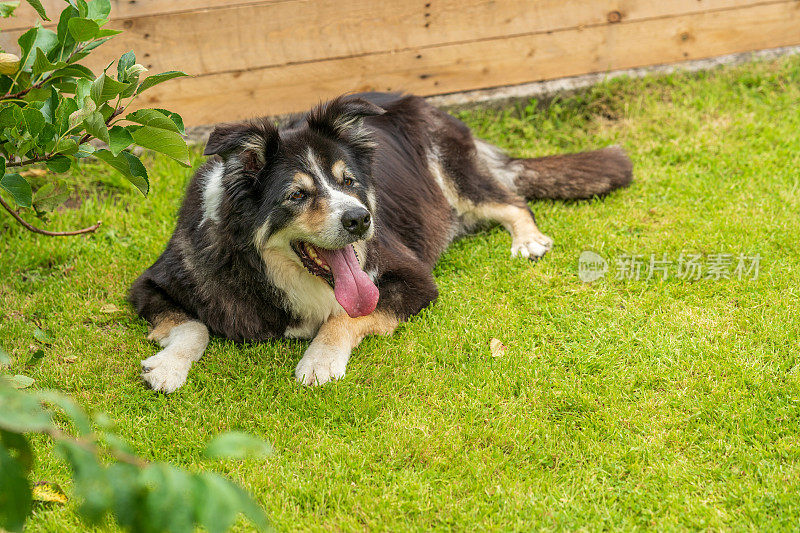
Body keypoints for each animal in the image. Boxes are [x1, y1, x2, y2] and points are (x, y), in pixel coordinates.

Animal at [131, 92, 632, 390]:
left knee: (511, 200)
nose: (361, 220)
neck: (267, 271)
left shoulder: (414, 278)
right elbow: (194, 325)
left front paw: (319, 360)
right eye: (297, 195)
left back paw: (527, 240)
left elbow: (345, 316)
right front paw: (169, 366)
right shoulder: (151, 284)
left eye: (348, 181)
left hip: (454, 175)